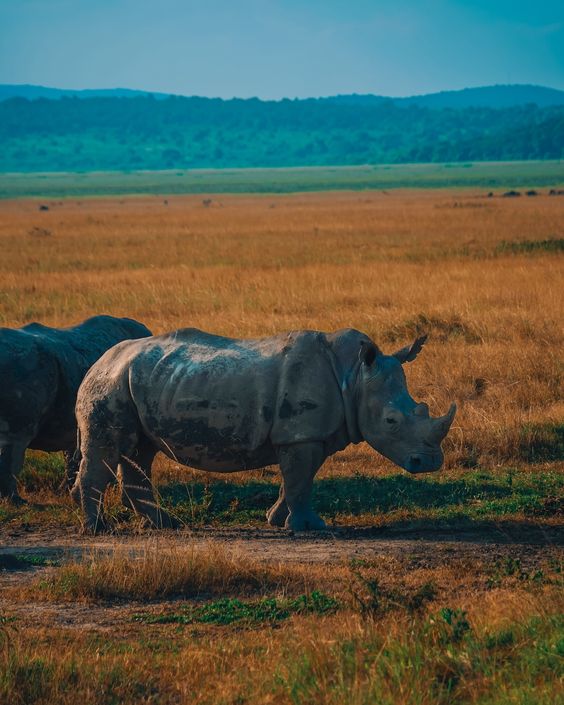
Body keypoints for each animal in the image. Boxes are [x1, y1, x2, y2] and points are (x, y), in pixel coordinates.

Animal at [71, 328, 458, 532]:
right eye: (391, 421)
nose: (430, 463)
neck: (354, 378)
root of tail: (98, 360)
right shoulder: (301, 434)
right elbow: (300, 480)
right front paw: (310, 526)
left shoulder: (306, 434)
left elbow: (299, 479)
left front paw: (276, 520)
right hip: (110, 385)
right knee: (109, 450)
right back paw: (97, 529)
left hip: (135, 381)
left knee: (140, 452)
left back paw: (167, 524)